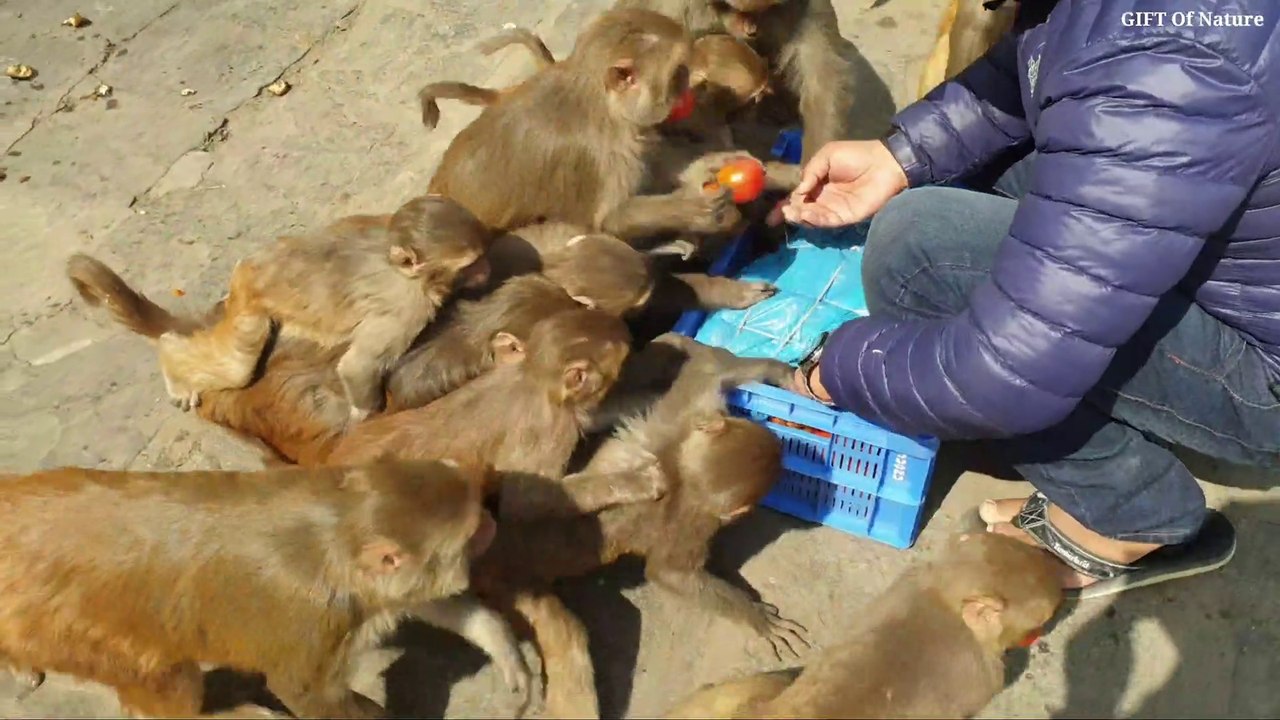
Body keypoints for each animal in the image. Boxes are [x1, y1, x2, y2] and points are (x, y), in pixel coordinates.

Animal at [0, 459, 503, 719]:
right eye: (473, 530)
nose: (493, 522)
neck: (334, 532)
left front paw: (496, 639)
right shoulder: (311, 624)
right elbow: (303, 691)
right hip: (76, 632)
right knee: (169, 680)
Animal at [152, 194, 493, 421]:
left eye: (483, 256)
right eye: (470, 264)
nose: (487, 270)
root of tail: (251, 266)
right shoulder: (407, 308)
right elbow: (358, 366)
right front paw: (363, 415)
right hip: (251, 304)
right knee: (238, 366)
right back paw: (171, 358)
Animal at [428, 9, 745, 243]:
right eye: (679, 72)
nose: (688, 93)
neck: (604, 105)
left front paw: (713, 163)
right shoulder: (604, 154)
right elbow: (608, 219)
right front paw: (693, 210)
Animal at [468, 333, 806, 718]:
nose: (779, 446)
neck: (680, 468)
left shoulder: (691, 408)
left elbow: (711, 364)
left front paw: (783, 374)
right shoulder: (693, 520)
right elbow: (669, 573)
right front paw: (757, 616)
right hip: (508, 579)